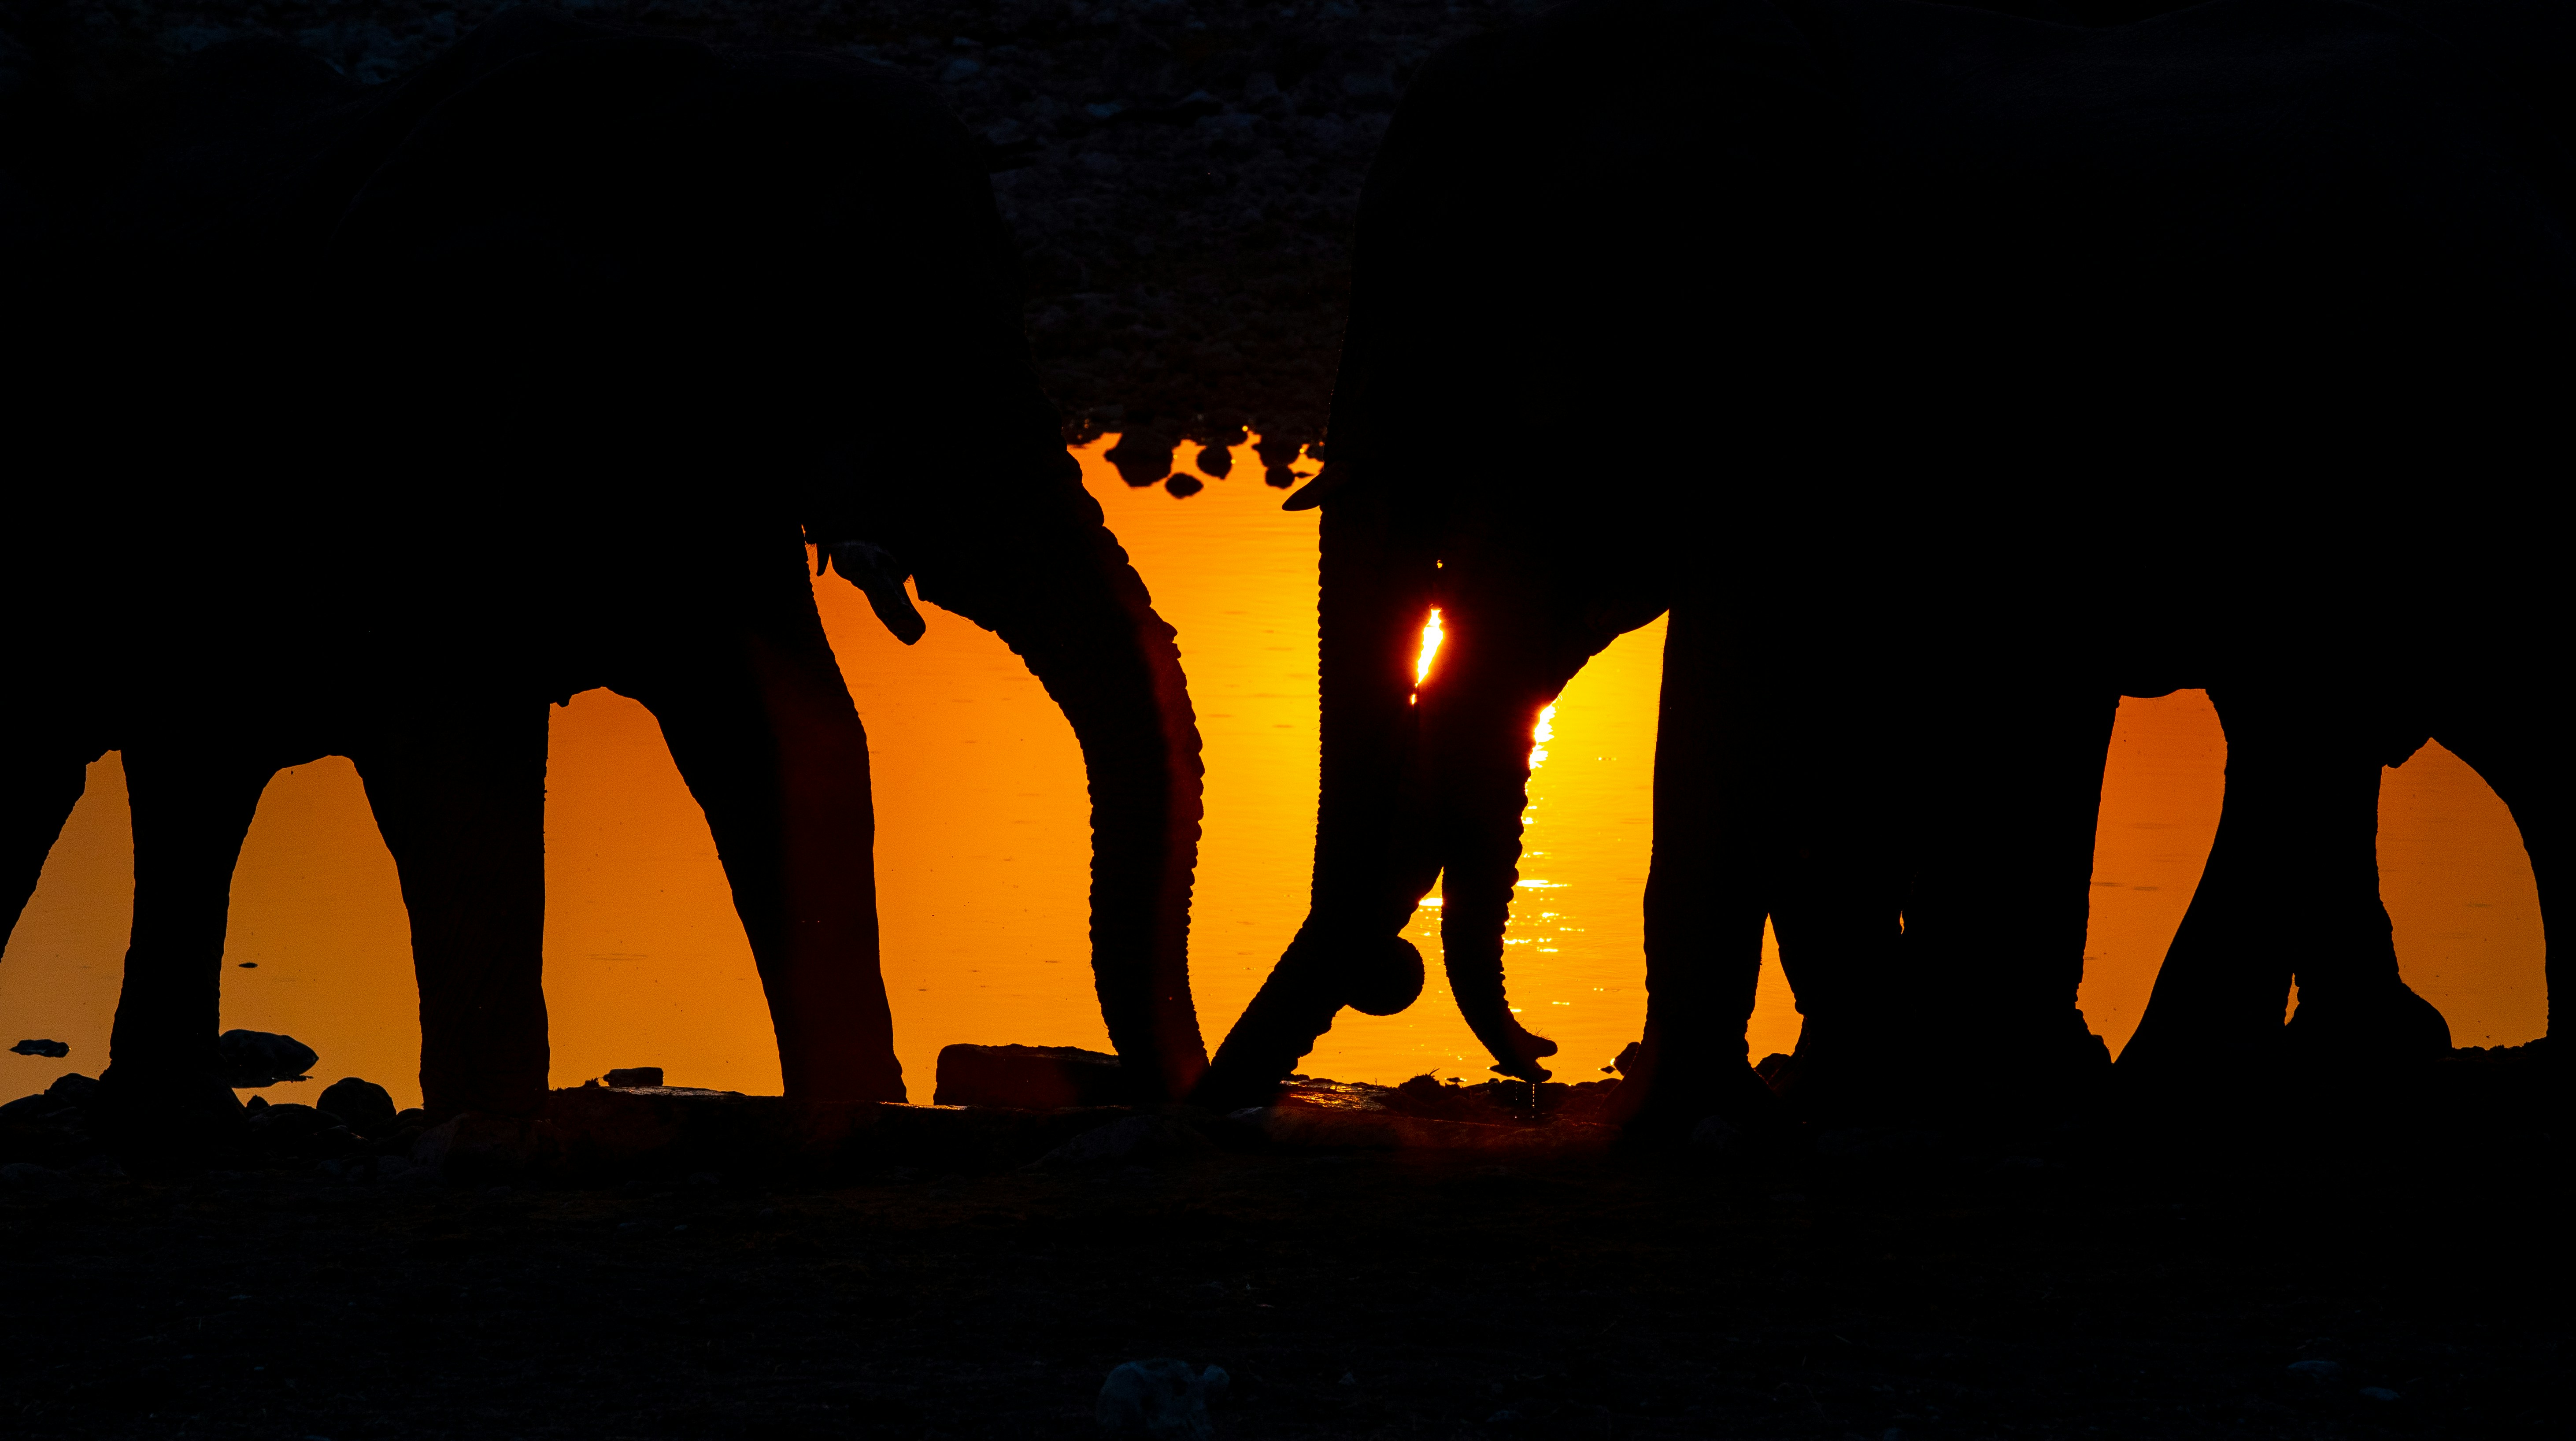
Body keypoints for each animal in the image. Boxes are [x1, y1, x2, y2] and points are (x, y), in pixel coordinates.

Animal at [1, 7, 1212, 1125]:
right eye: (821, 327)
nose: (1160, 1087)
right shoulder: (415, 433)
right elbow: (457, 754)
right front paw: (497, 1127)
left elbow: (791, 741)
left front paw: (856, 1110)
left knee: (190, 776)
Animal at [1194, 0, 2570, 1126]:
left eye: (1463, 318)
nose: (1526, 1053)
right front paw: (1863, 1076)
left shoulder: (1822, 374)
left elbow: (1737, 681)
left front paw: (1711, 1113)